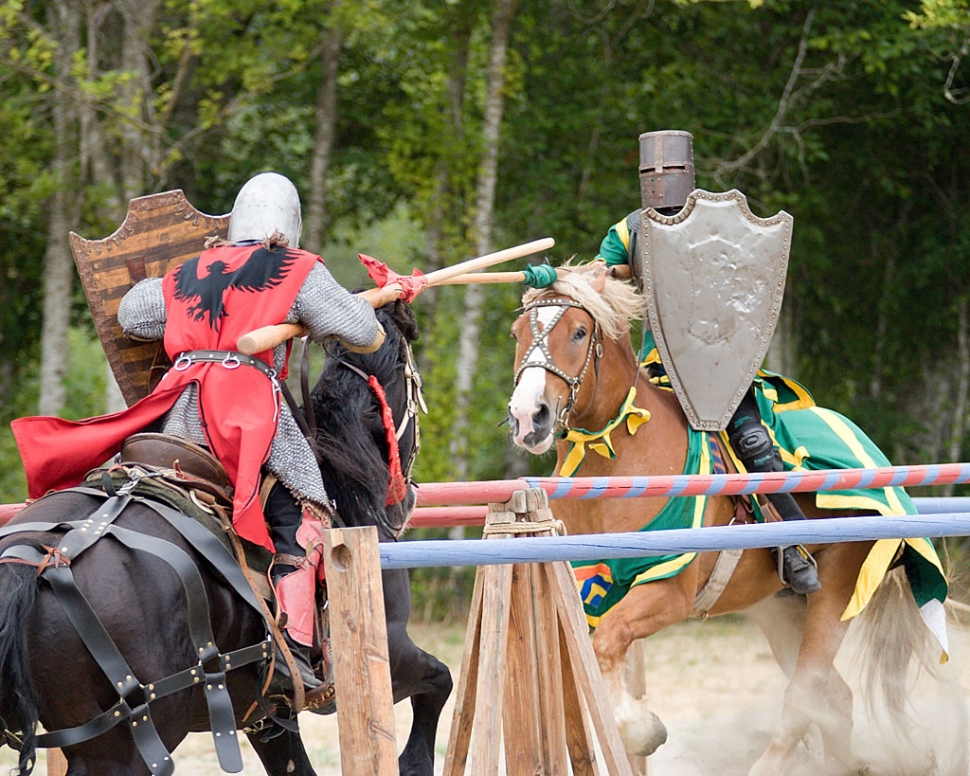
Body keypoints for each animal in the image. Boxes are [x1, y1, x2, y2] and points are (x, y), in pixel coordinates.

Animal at [0, 302, 450, 776]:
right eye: (412, 381)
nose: (406, 503)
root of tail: (33, 561)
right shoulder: (386, 652)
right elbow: (440, 679)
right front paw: (415, 762)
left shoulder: (263, 713)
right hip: (124, 746)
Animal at [502, 266, 964, 776]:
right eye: (517, 334)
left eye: (579, 332)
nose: (529, 417)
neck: (616, 459)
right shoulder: (584, 593)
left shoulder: (667, 591)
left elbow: (609, 642)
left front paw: (641, 727)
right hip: (779, 606)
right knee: (834, 701)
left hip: (838, 587)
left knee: (806, 697)